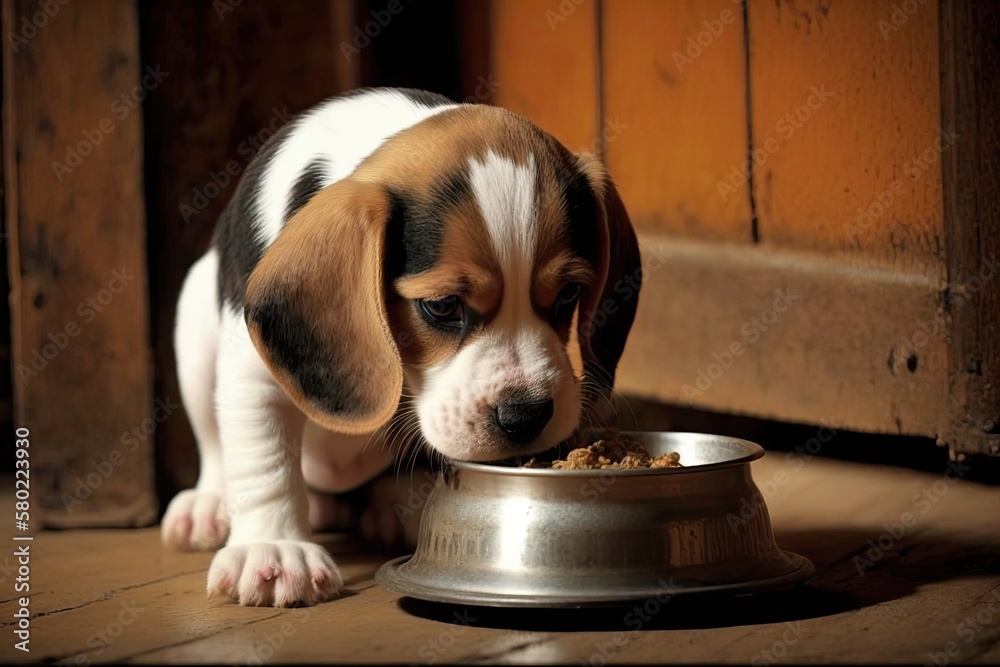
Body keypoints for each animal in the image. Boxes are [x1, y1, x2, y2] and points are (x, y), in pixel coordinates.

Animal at [163, 87, 640, 604]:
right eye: (442, 306)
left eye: (570, 294)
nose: (526, 416)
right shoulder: (254, 377)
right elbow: (265, 460)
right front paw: (273, 549)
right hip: (193, 327)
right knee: (214, 445)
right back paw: (209, 506)